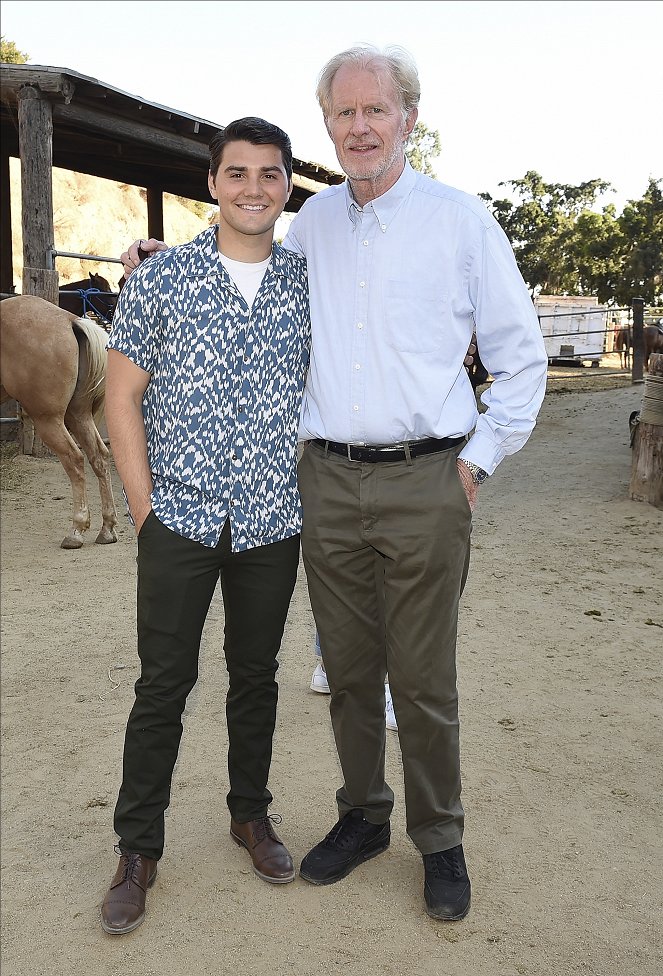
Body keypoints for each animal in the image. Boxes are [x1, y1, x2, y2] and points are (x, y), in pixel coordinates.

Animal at [0, 294, 118, 548]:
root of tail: (70, 321)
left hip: (49, 419)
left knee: (75, 459)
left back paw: (76, 530)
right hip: (78, 415)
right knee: (99, 458)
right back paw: (106, 529)